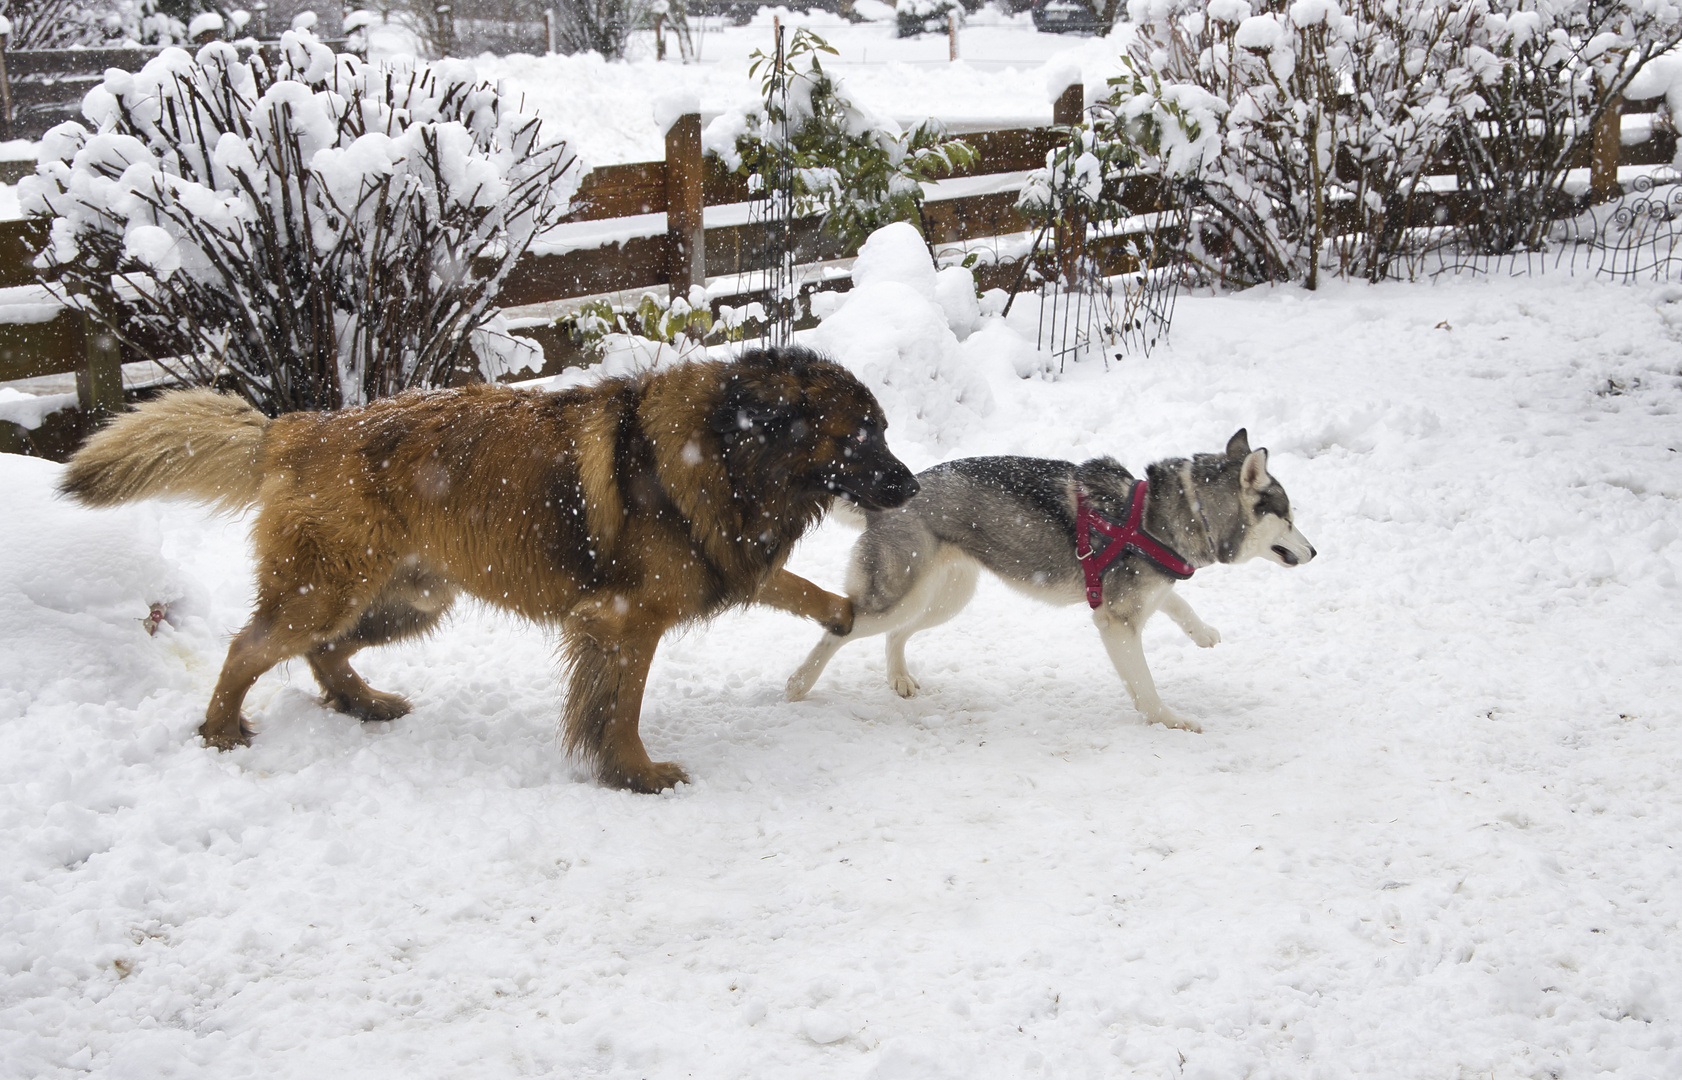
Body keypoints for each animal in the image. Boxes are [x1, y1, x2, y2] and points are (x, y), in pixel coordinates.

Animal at [59, 346, 921, 790]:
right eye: (858, 438)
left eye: (884, 431)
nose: (911, 485)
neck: (727, 445)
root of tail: (300, 428)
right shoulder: (625, 621)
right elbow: (620, 708)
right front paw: (634, 772)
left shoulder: (714, 562)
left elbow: (791, 585)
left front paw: (845, 614)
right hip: (327, 590)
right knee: (251, 647)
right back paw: (220, 732)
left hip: (410, 598)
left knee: (323, 652)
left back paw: (363, 704)